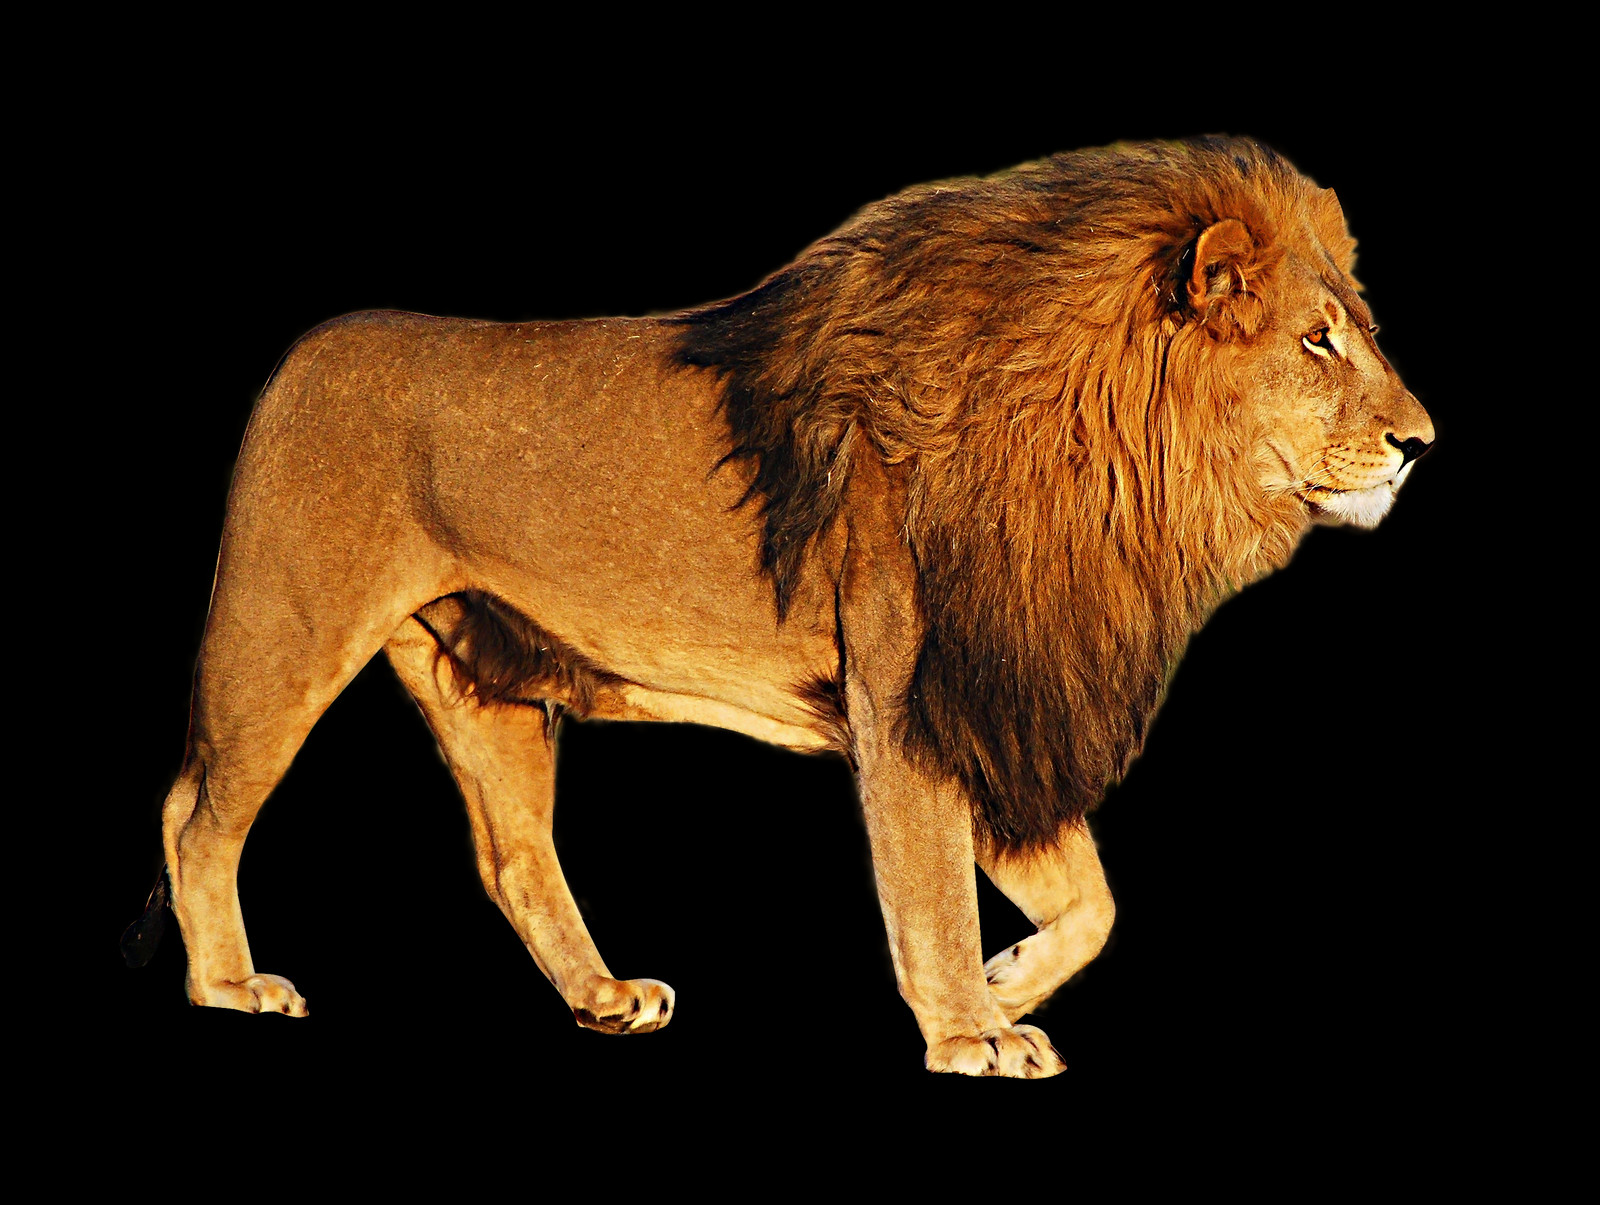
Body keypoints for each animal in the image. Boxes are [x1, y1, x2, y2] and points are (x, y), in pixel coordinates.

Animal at [122, 136, 1432, 1077]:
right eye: (1317, 342)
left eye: (1358, 332)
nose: (1422, 442)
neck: (1116, 472)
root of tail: (306, 348)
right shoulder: (912, 696)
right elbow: (931, 890)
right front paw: (970, 1030)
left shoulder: (991, 692)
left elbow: (1095, 900)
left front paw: (1008, 979)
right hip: (282, 631)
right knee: (196, 811)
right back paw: (230, 986)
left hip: (486, 681)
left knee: (513, 854)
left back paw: (604, 998)